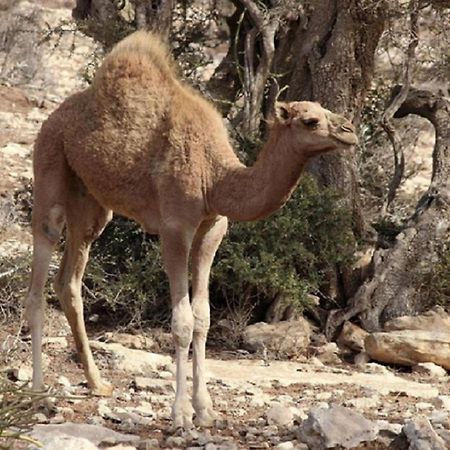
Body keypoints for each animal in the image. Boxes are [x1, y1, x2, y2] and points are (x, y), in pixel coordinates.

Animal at [23, 31, 358, 428]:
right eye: (309, 120)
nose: (350, 131)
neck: (215, 177)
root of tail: (55, 115)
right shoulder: (175, 228)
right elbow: (182, 321)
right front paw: (181, 412)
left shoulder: (212, 228)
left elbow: (203, 318)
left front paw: (206, 409)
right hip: (50, 166)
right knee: (39, 272)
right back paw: (39, 395)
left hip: (91, 205)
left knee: (69, 281)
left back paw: (97, 382)